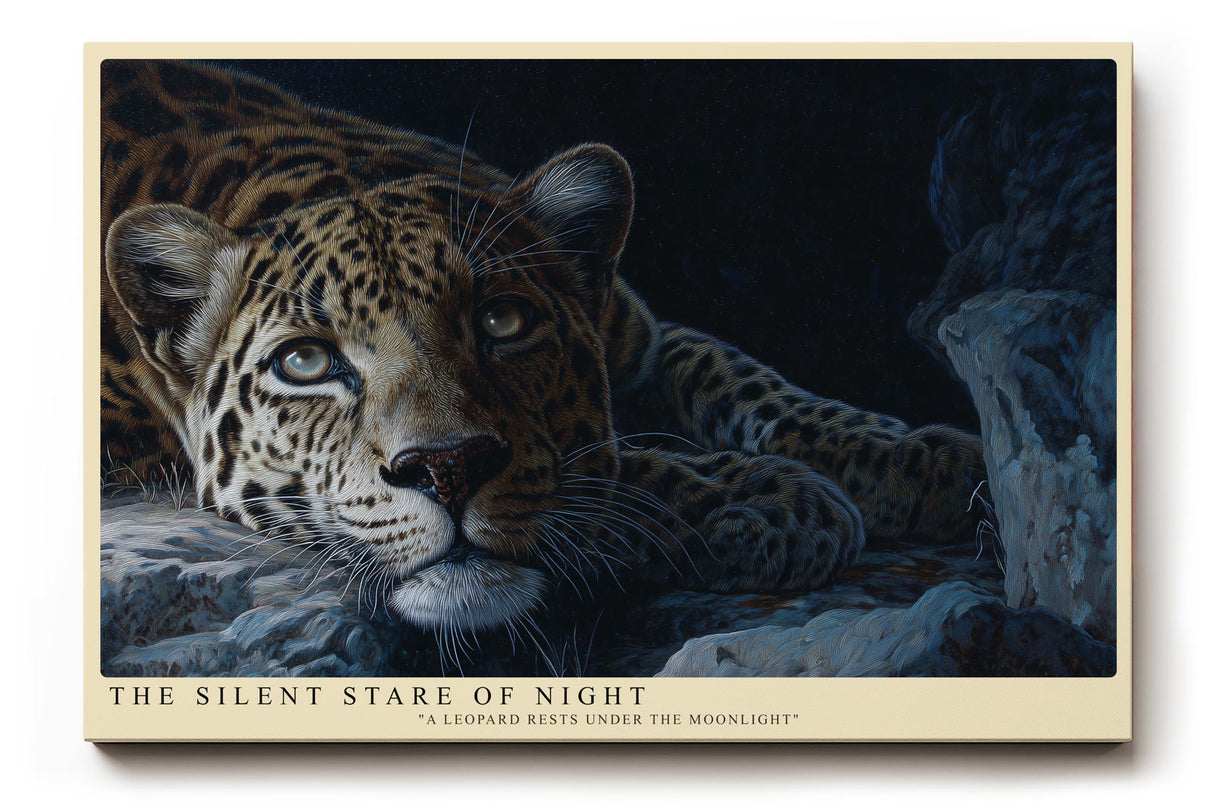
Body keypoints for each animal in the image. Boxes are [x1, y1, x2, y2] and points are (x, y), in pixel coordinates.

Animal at [100, 60, 986, 639]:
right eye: (306, 364)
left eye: (502, 322)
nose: (446, 470)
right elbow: (610, 467)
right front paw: (762, 497)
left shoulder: (639, 334)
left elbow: (737, 374)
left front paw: (921, 456)